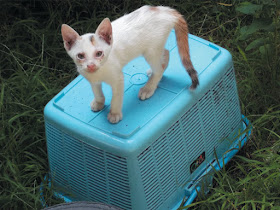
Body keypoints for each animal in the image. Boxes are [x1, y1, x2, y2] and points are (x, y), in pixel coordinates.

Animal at [60, 5, 199, 123]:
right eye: (80, 56)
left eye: (99, 53)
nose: (91, 65)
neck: (99, 72)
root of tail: (166, 10)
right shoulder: (92, 79)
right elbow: (97, 91)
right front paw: (99, 102)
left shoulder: (118, 79)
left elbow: (116, 97)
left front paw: (114, 113)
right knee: (166, 53)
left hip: (151, 50)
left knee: (159, 67)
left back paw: (149, 88)